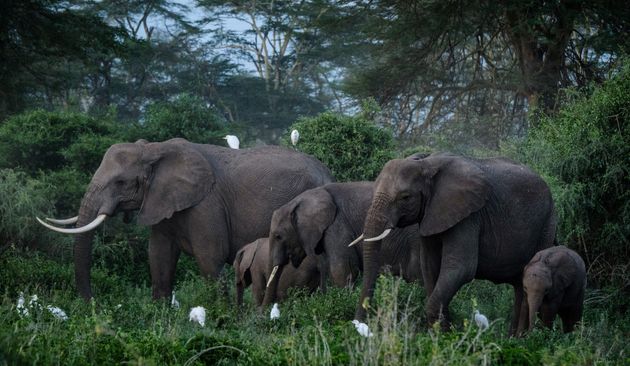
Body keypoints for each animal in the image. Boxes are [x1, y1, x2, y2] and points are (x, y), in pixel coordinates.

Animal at [38, 137, 336, 300]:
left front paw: (221, 322)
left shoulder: (207, 204)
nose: (92, 304)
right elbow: (159, 258)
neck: (154, 150)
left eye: (121, 182)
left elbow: (209, 258)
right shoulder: (161, 203)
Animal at [264, 181, 422, 306]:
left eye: (278, 236)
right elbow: (326, 268)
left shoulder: (337, 225)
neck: (298, 201)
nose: (263, 313)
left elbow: (341, 269)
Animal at [356, 152, 556, 334]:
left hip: (546, 225)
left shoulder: (469, 216)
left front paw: (443, 337)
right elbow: (429, 266)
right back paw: (513, 338)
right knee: (520, 286)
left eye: (405, 197)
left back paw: (524, 339)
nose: (360, 324)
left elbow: (461, 268)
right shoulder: (431, 215)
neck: (426, 164)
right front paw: (442, 334)